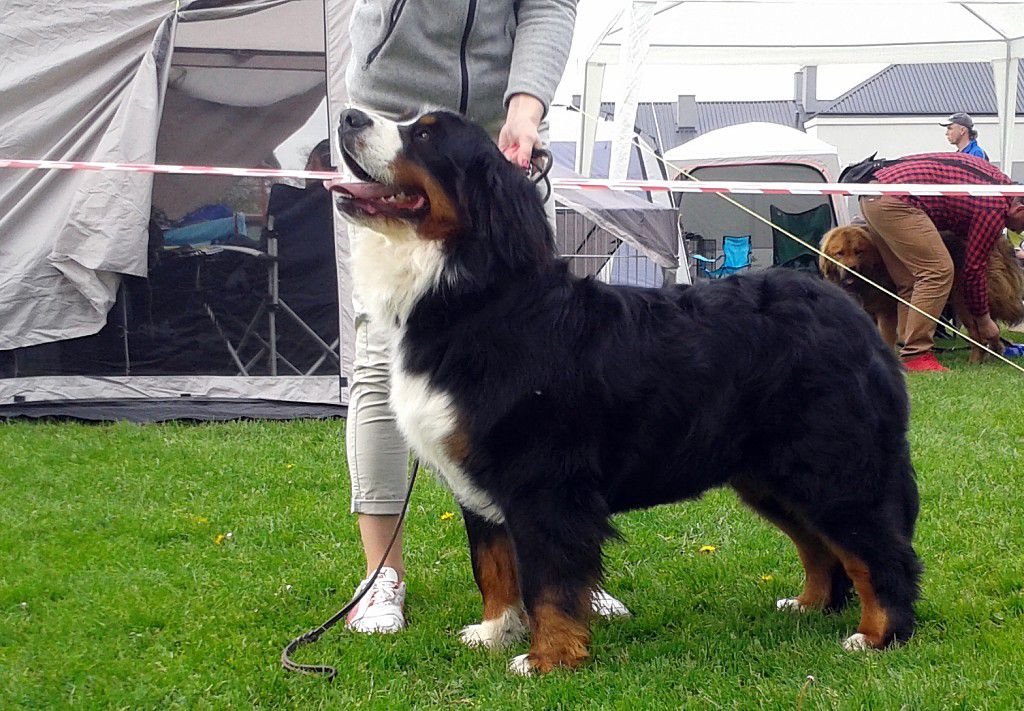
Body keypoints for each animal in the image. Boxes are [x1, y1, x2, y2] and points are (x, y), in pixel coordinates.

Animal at [331, 108, 925, 676]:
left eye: (426, 136)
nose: (349, 117)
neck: (473, 298)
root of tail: (853, 316)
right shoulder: (480, 481)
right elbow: (494, 566)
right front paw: (497, 632)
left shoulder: (543, 481)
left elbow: (549, 583)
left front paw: (548, 659)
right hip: (771, 476)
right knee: (821, 547)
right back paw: (808, 606)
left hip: (829, 467)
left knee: (880, 551)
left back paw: (878, 636)